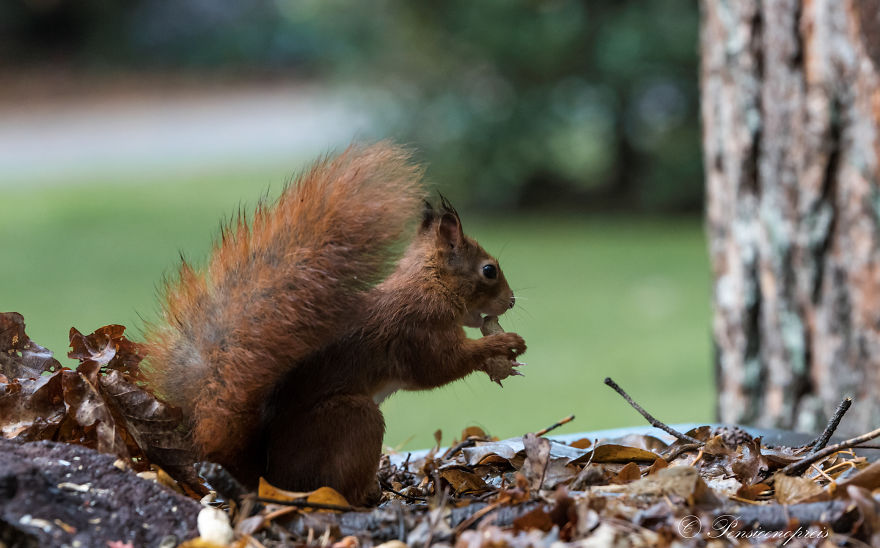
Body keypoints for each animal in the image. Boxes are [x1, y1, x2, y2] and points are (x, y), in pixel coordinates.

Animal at [142, 142, 526, 505]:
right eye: (489, 270)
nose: (511, 301)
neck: (430, 285)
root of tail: (270, 480)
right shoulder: (416, 331)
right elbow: (439, 368)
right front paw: (504, 344)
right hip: (354, 419)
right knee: (343, 488)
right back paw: (367, 496)